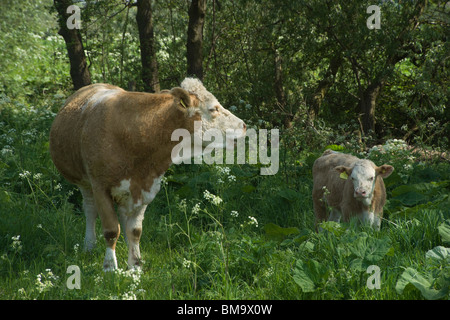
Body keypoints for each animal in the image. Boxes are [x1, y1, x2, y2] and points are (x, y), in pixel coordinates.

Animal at [49, 77, 246, 270]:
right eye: (214, 108)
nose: (244, 125)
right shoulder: (100, 187)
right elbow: (111, 230)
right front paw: (110, 267)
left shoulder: (146, 188)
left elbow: (135, 230)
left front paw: (135, 266)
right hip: (85, 183)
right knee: (90, 210)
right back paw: (89, 246)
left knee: (123, 216)